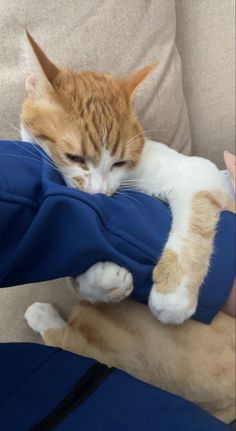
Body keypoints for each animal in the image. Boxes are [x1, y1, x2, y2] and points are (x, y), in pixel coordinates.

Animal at [20, 33, 227, 324]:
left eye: (119, 162)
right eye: (74, 157)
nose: (100, 193)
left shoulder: (201, 173)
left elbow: (192, 232)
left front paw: (173, 296)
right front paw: (100, 281)